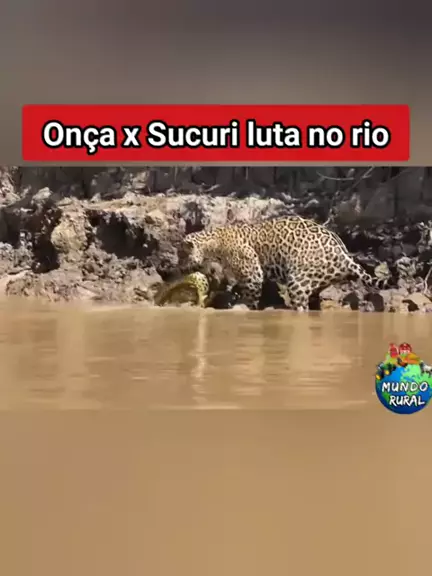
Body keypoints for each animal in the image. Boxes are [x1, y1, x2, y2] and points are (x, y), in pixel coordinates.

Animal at [177, 215, 386, 311]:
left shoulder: (253, 273)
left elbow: (250, 296)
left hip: (298, 281)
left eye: (181, 255)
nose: (178, 267)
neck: (213, 244)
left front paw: (245, 306)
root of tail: (345, 255)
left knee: (301, 307)